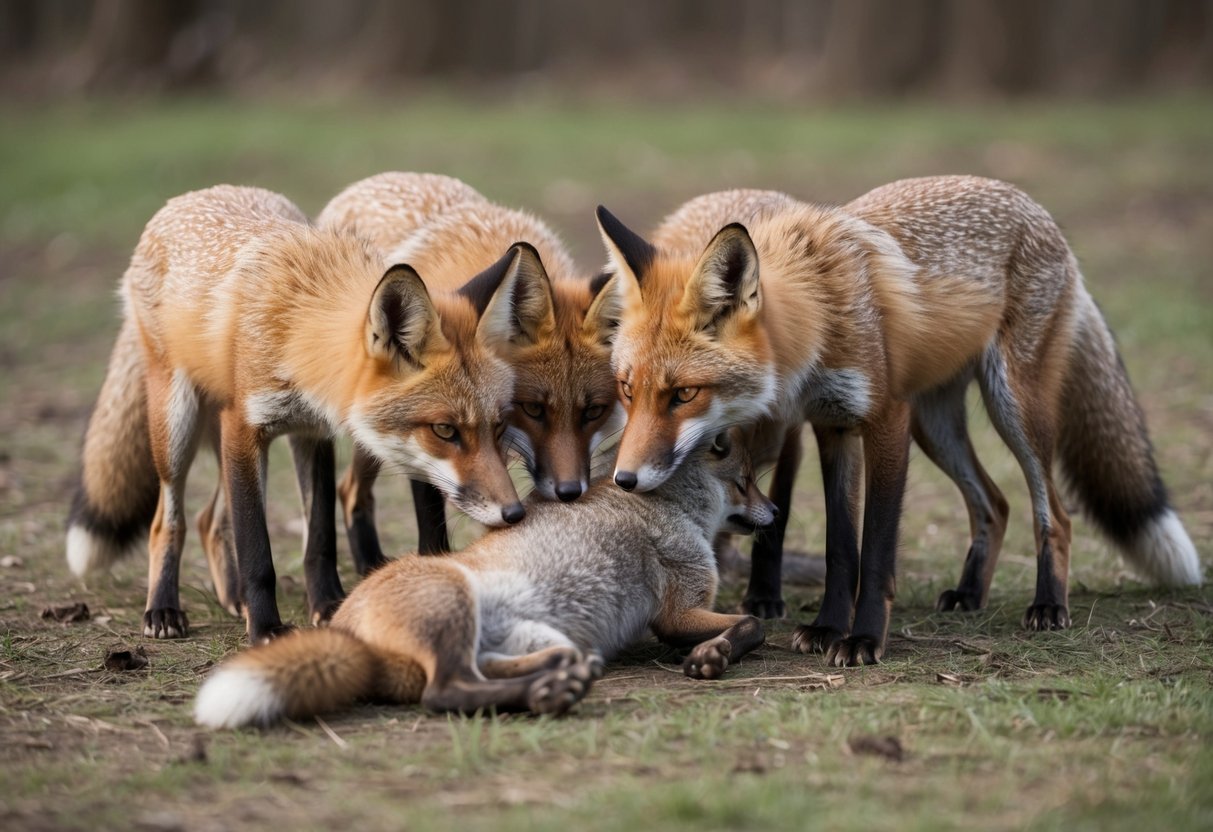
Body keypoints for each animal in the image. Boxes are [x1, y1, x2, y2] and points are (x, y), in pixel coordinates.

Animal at [66, 184, 547, 642]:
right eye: (445, 430)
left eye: (499, 426)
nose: (515, 514)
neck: (296, 326)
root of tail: (188, 197)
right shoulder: (245, 428)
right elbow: (257, 547)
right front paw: (265, 628)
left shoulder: (312, 433)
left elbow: (320, 538)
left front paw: (328, 606)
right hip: (175, 424)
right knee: (168, 522)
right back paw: (164, 609)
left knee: (210, 520)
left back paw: (232, 598)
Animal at [193, 430, 774, 728]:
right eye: (745, 482)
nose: (774, 512)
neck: (664, 506)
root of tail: (348, 633)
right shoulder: (676, 613)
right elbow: (753, 624)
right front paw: (713, 654)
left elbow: (748, 623)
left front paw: (714, 651)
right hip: (453, 605)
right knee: (444, 692)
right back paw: (548, 692)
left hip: (530, 636)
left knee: (490, 673)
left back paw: (553, 682)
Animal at [306, 172, 620, 570]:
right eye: (534, 409)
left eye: (594, 411)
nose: (569, 492)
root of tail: (373, 181)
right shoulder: (426, 439)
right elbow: (433, 526)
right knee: (349, 491)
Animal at [597, 175, 1201, 666]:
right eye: (628, 389)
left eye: (684, 394)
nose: (624, 480)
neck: (822, 314)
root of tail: (1032, 204)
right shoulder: (833, 427)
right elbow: (842, 548)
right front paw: (826, 628)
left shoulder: (885, 420)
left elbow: (877, 546)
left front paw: (864, 639)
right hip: (937, 427)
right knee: (994, 503)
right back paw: (969, 595)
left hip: (1013, 408)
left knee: (1054, 509)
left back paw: (1049, 604)